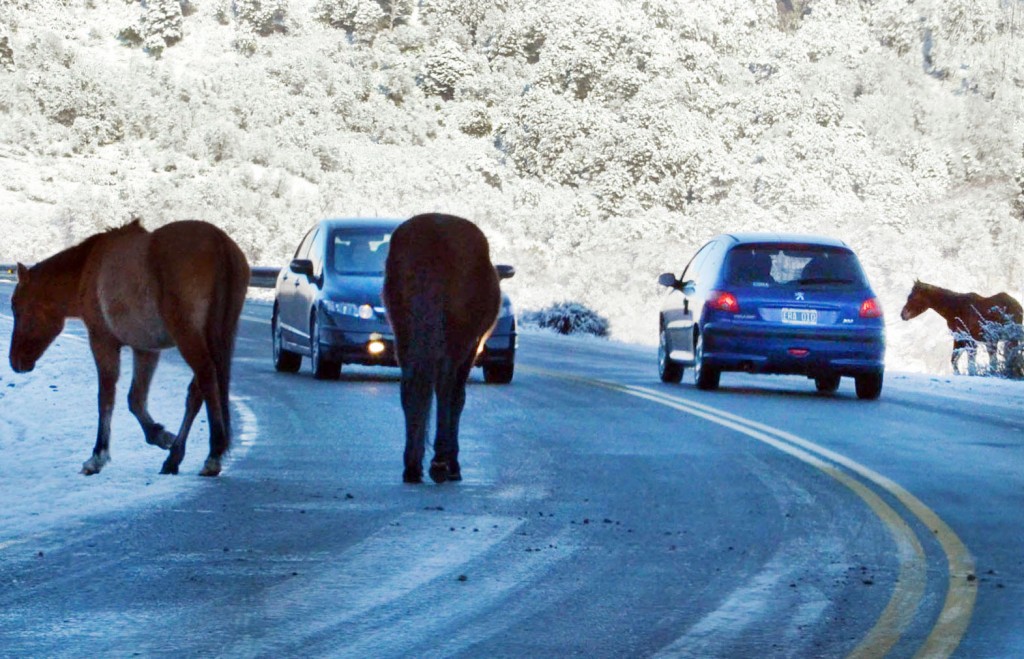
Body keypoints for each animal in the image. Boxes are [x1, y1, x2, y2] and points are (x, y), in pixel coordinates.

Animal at [8, 219, 250, 476]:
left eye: (16, 307)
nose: (15, 361)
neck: (86, 269)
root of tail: (219, 242)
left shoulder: (102, 341)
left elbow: (106, 396)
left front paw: (98, 456)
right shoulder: (145, 349)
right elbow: (136, 399)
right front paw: (160, 436)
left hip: (189, 336)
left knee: (206, 378)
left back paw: (212, 455)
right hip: (215, 336)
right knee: (197, 391)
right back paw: (174, 457)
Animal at [382, 213, 501, 484]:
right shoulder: (471, 347)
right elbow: (457, 397)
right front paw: (452, 462)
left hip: (404, 331)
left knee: (410, 383)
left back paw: (412, 464)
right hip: (457, 337)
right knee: (446, 386)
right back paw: (440, 463)